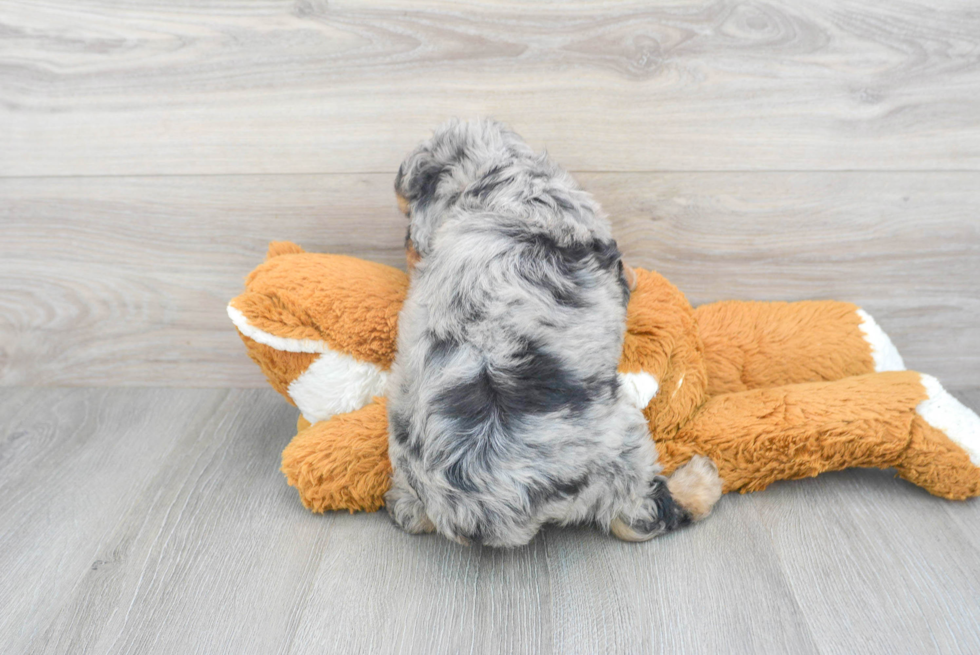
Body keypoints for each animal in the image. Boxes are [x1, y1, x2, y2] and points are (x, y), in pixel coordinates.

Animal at [384, 119, 720, 548]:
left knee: (409, 514)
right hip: (621, 448)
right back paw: (700, 481)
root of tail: (485, 512)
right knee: (638, 517)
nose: (410, 255)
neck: (497, 179)